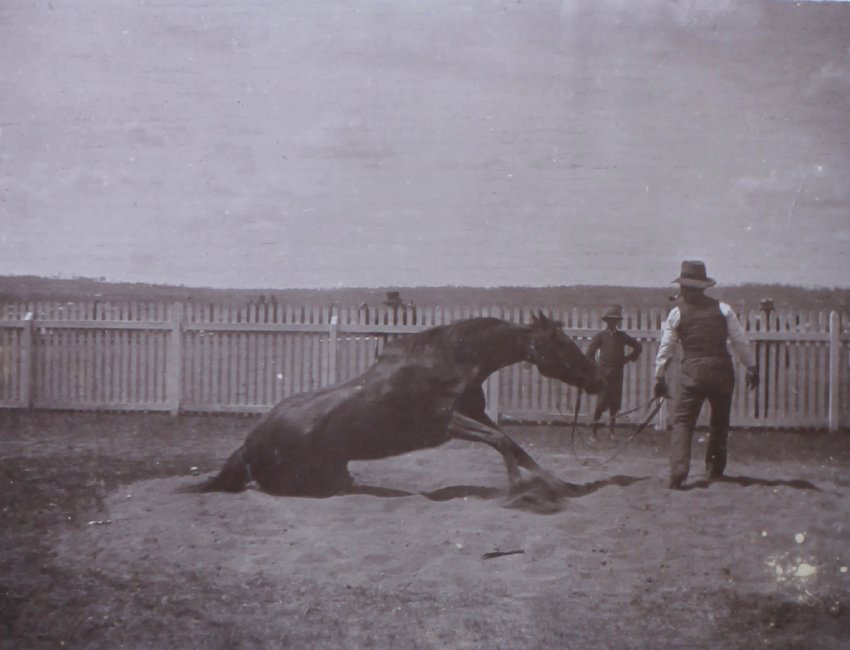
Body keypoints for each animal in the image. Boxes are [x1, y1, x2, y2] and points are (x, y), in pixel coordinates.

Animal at [184, 312, 606, 497]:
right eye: (564, 345)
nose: (598, 378)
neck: (453, 361)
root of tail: (247, 445)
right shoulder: (448, 422)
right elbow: (502, 443)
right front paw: (518, 488)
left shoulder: (476, 414)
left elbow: (514, 444)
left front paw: (557, 483)